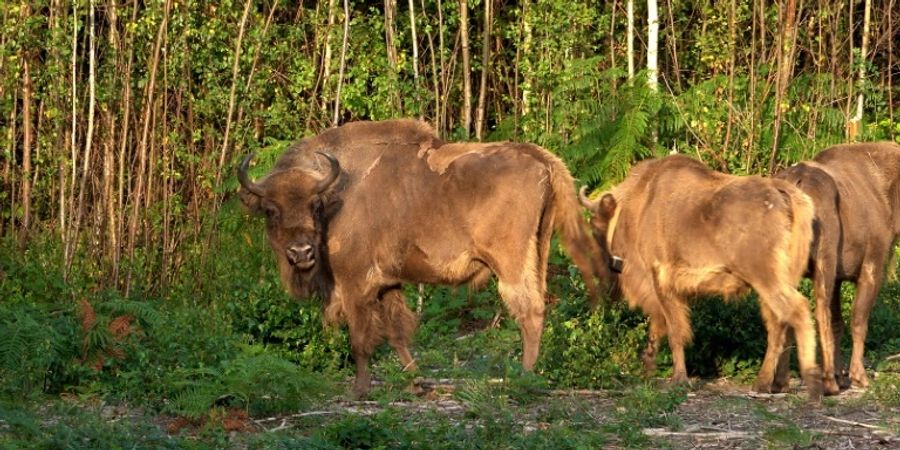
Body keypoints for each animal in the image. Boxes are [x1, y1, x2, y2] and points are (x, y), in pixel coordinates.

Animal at [239, 119, 604, 398]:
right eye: (270, 210)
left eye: (315, 205)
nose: (300, 253)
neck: (337, 193)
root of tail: (538, 156)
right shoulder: (387, 284)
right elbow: (397, 332)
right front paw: (416, 381)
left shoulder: (355, 282)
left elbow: (360, 338)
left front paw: (359, 390)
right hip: (539, 251)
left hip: (510, 264)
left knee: (529, 311)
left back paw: (523, 379)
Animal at [584, 156, 824, 400]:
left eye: (596, 226)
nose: (607, 273)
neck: (641, 203)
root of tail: (781, 191)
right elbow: (661, 326)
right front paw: (648, 369)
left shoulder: (660, 278)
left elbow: (675, 331)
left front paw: (678, 379)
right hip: (777, 281)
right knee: (780, 323)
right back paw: (773, 383)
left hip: (765, 278)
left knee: (796, 311)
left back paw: (807, 383)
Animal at [772, 142, 900, 394]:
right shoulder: (872, 265)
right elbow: (858, 320)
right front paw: (857, 376)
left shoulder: (840, 277)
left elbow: (838, 323)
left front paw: (843, 375)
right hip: (825, 257)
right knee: (819, 310)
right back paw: (828, 382)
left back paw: (780, 381)